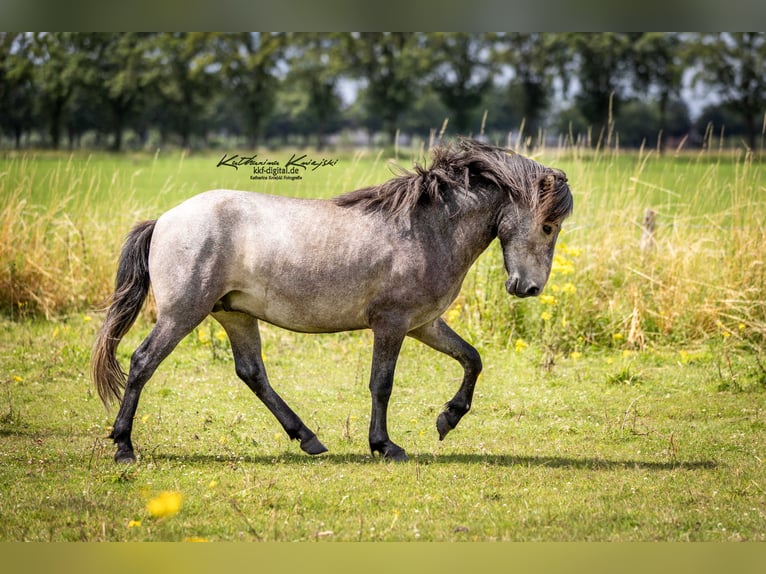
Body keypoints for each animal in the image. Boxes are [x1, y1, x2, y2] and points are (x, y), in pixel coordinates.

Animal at [91, 138, 573, 463]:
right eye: (548, 226)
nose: (528, 288)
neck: (428, 229)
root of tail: (164, 219)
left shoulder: (424, 323)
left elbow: (472, 359)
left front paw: (447, 419)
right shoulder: (393, 323)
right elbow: (382, 384)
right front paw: (385, 445)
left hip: (234, 316)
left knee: (252, 374)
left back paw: (308, 438)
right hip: (182, 314)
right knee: (142, 362)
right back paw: (124, 446)